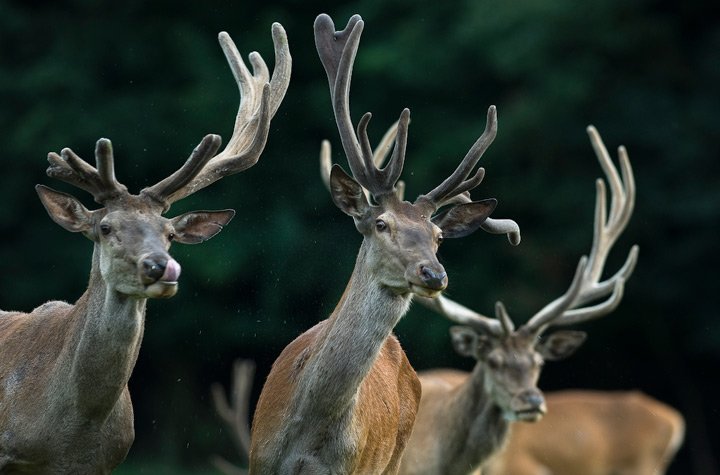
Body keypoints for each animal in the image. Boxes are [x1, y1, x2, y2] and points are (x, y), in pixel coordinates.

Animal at [250, 14, 516, 475]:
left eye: (438, 237)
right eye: (380, 223)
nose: (434, 273)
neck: (303, 437)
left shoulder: (353, 467)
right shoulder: (256, 460)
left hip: (393, 459)